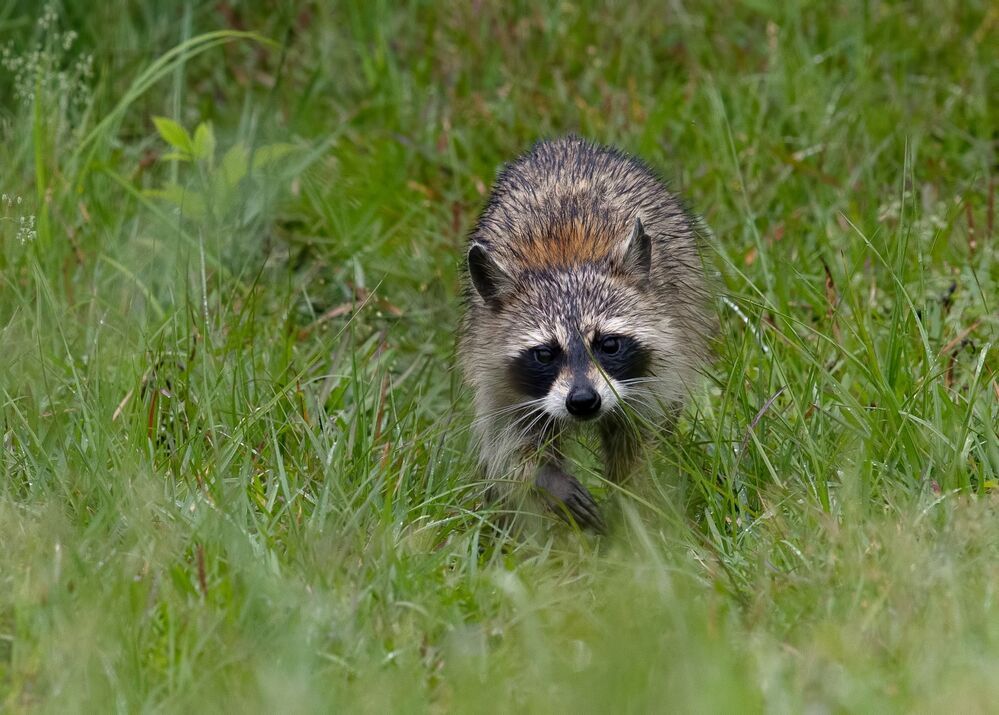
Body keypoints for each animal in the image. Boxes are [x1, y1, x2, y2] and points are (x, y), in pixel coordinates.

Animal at [459, 136, 713, 532]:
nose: (582, 401)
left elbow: (639, 441)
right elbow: (508, 442)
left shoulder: (661, 356)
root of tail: (565, 142)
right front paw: (545, 479)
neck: (563, 260)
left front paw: (633, 509)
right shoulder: (491, 361)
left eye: (609, 344)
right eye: (544, 353)